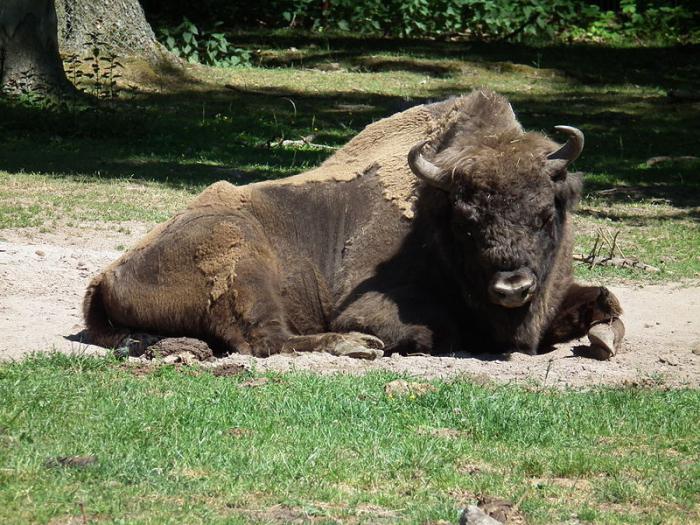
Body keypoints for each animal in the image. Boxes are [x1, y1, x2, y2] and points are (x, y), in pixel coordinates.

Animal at [82, 90, 624, 360]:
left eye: (545, 213)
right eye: (467, 222)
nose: (512, 287)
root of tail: (105, 276)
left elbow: (607, 300)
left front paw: (600, 337)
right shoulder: (368, 305)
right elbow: (435, 332)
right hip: (240, 258)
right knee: (264, 341)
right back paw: (359, 348)